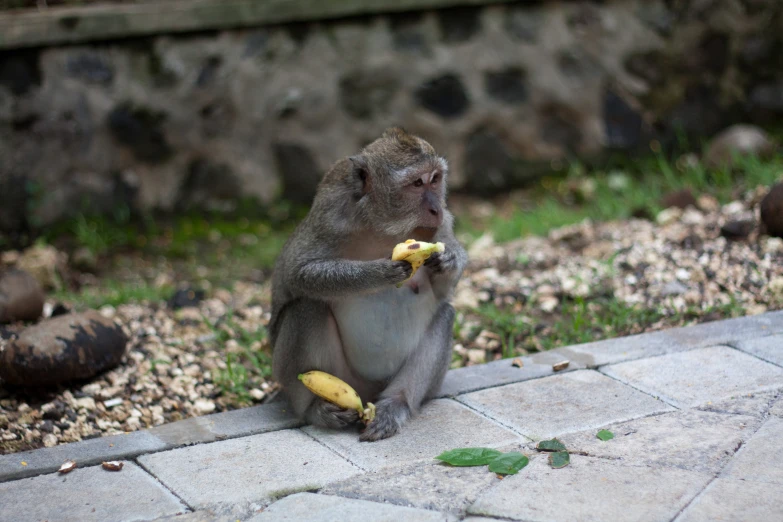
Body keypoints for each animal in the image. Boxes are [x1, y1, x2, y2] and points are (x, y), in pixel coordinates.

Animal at [270, 126, 466, 438]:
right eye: (417, 183)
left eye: (435, 179)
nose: (436, 208)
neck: (381, 226)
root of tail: (367, 393)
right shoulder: (329, 217)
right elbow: (299, 273)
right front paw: (379, 272)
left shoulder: (442, 226)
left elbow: (442, 294)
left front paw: (449, 260)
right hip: (333, 376)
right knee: (306, 307)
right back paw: (315, 409)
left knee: (445, 315)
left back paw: (394, 405)